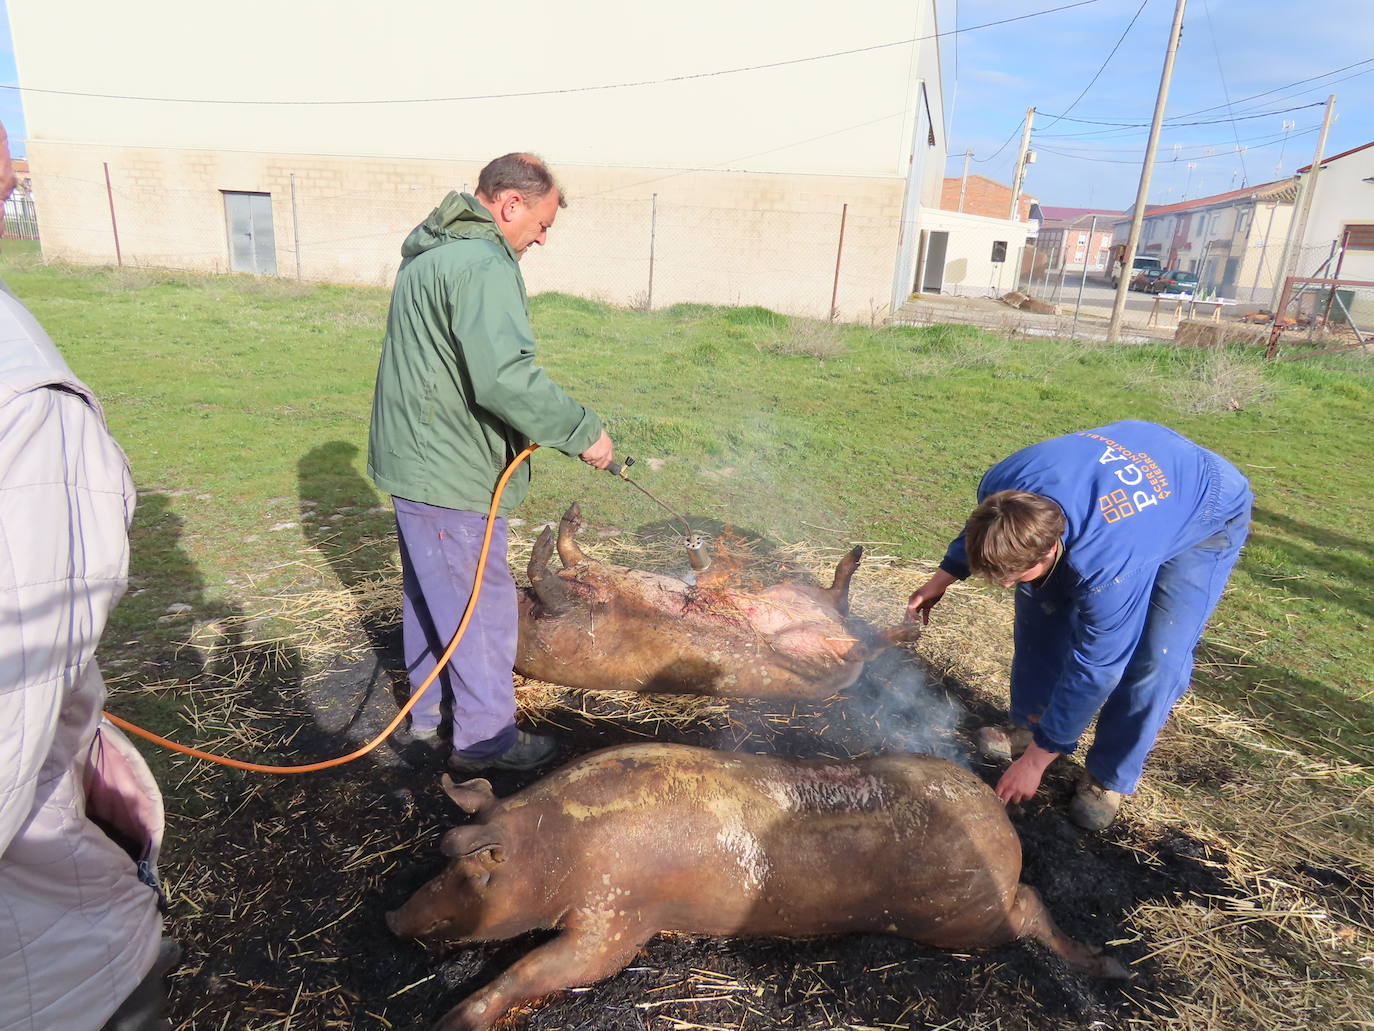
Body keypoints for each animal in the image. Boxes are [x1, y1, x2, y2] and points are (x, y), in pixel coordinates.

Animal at [387, 742, 1126, 1031]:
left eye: (470, 870)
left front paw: (448, 1020)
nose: (392, 918)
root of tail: (999, 818)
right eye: (442, 860)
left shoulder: (619, 914)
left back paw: (1108, 965)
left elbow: (553, 966)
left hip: (967, 918)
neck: (558, 848)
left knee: (1030, 907)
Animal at [511, 503, 917, 703]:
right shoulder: (564, 625)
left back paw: (859, 559)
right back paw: (908, 627)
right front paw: (549, 538)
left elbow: (569, 555)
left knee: (843, 606)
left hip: (796, 597)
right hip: (816, 659)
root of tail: (837, 625)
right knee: (862, 642)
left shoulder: (574, 595)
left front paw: (566, 520)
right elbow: (551, 572)